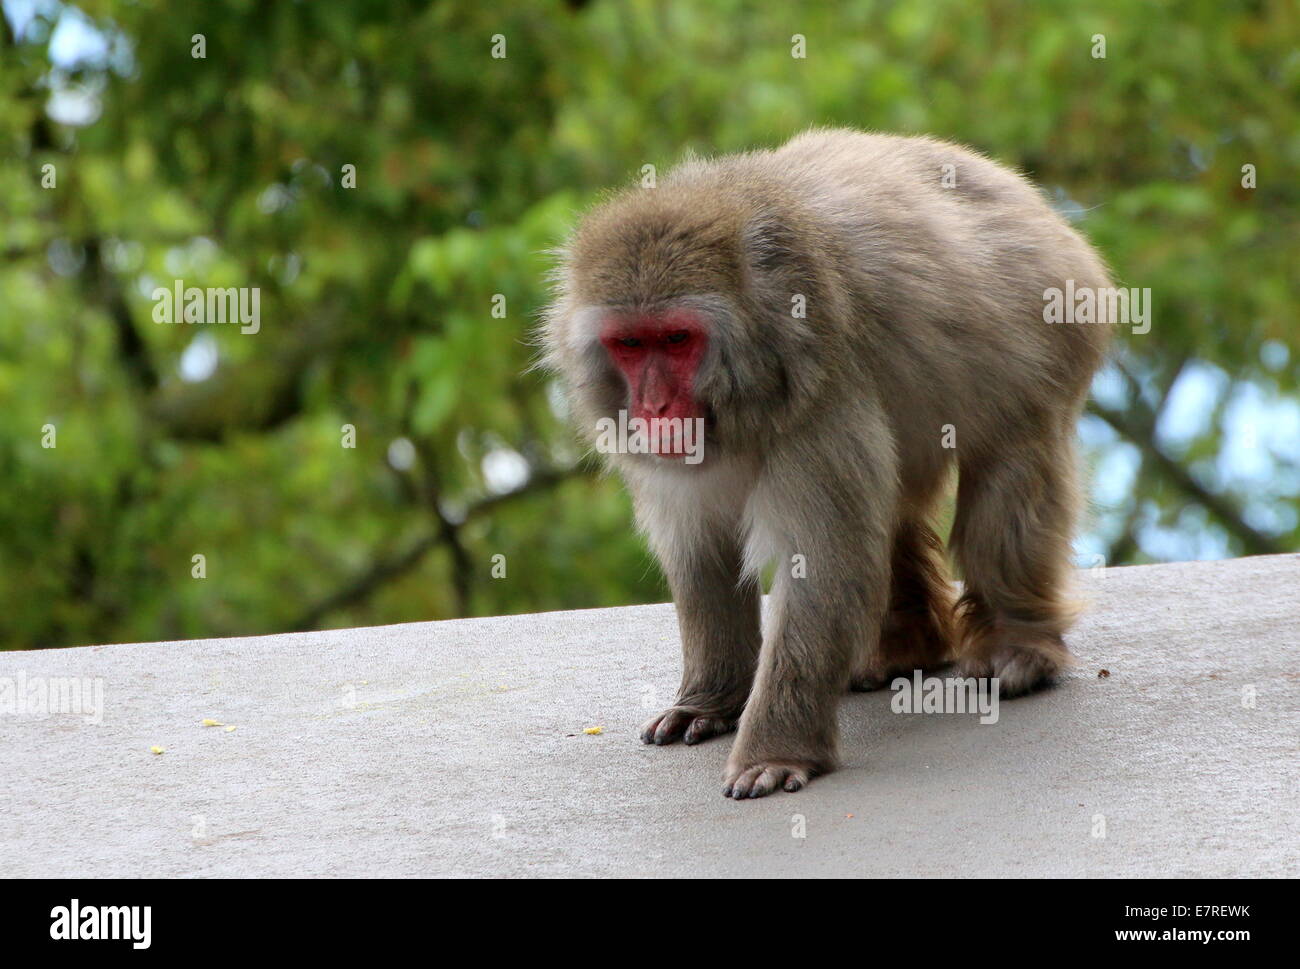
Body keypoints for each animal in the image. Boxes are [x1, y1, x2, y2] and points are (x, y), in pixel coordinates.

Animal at [538, 128, 1107, 796]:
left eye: (677, 339)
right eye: (630, 343)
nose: (654, 408)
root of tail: (1038, 205)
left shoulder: (820, 397)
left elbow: (822, 568)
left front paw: (776, 749)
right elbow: (702, 551)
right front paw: (709, 701)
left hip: (1048, 326)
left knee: (1010, 473)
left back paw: (1018, 646)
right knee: (891, 505)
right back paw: (906, 647)